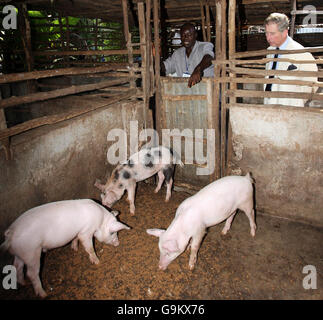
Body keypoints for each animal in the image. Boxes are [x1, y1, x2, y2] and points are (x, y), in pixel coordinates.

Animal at [0, 199, 132, 298]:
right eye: (113, 233)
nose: (117, 243)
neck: (100, 221)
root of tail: (10, 235)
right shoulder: (86, 231)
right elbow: (89, 246)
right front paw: (97, 261)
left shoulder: (78, 232)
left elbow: (75, 238)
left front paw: (74, 249)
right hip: (31, 252)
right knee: (31, 273)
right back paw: (44, 294)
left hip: (20, 253)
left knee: (17, 266)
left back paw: (22, 283)